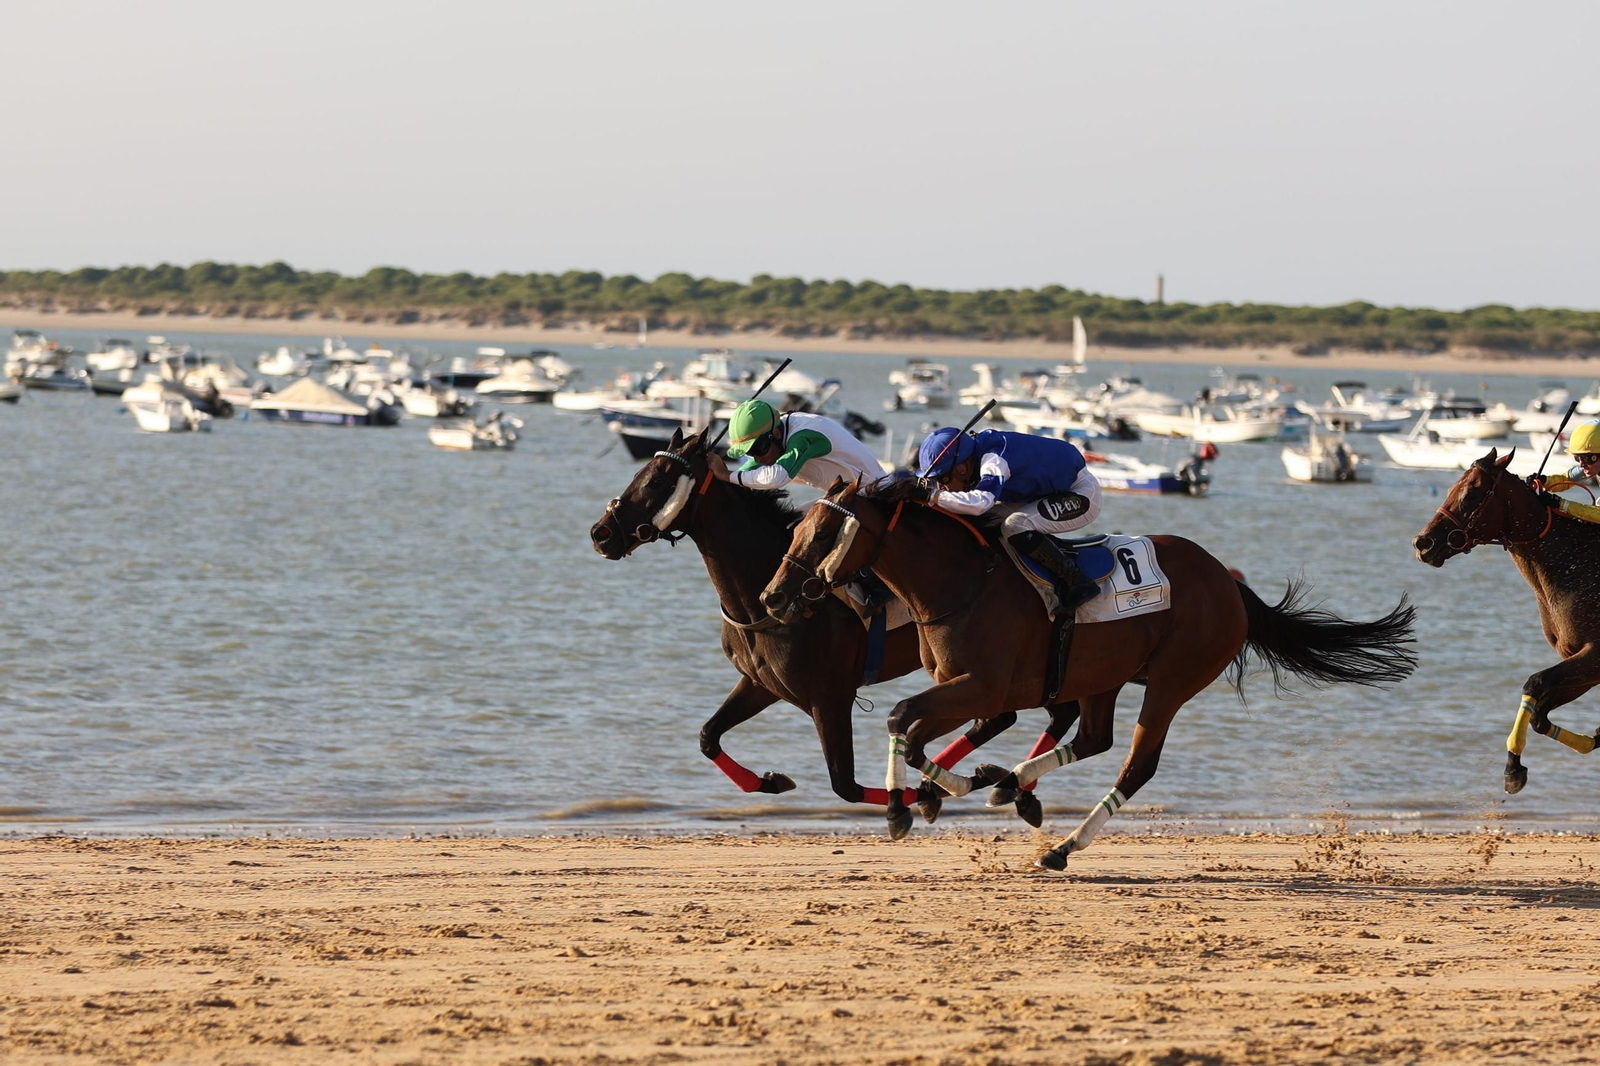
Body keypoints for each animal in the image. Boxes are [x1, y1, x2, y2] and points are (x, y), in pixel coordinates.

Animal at [587, 428, 1078, 820]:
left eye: (657, 480)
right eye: (640, 473)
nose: (601, 533)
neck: (761, 596)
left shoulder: (828, 697)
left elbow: (846, 785)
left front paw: (928, 794)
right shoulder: (761, 683)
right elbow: (708, 736)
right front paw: (769, 781)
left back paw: (1005, 787)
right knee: (1022, 715)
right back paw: (1009, 787)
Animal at [761, 476, 1418, 869]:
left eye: (826, 531)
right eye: (797, 527)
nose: (774, 597)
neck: (960, 581)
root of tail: (1228, 583)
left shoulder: (980, 686)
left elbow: (903, 717)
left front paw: (906, 806)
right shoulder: (972, 689)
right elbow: (920, 735)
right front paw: (942, 791)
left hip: (1172, 683)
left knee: (1136, 764)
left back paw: (1061, 846)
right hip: (1106, 677)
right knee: (1095, 737)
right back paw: (1009, 786)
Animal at [1412, 447, 1600, 793]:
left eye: (1471, 493)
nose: (1423, 543)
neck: (1575, 564)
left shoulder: (1594, 655)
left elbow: (1534, 682)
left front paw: (1513, 767)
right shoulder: (1582, 665)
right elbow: (1539, 714)